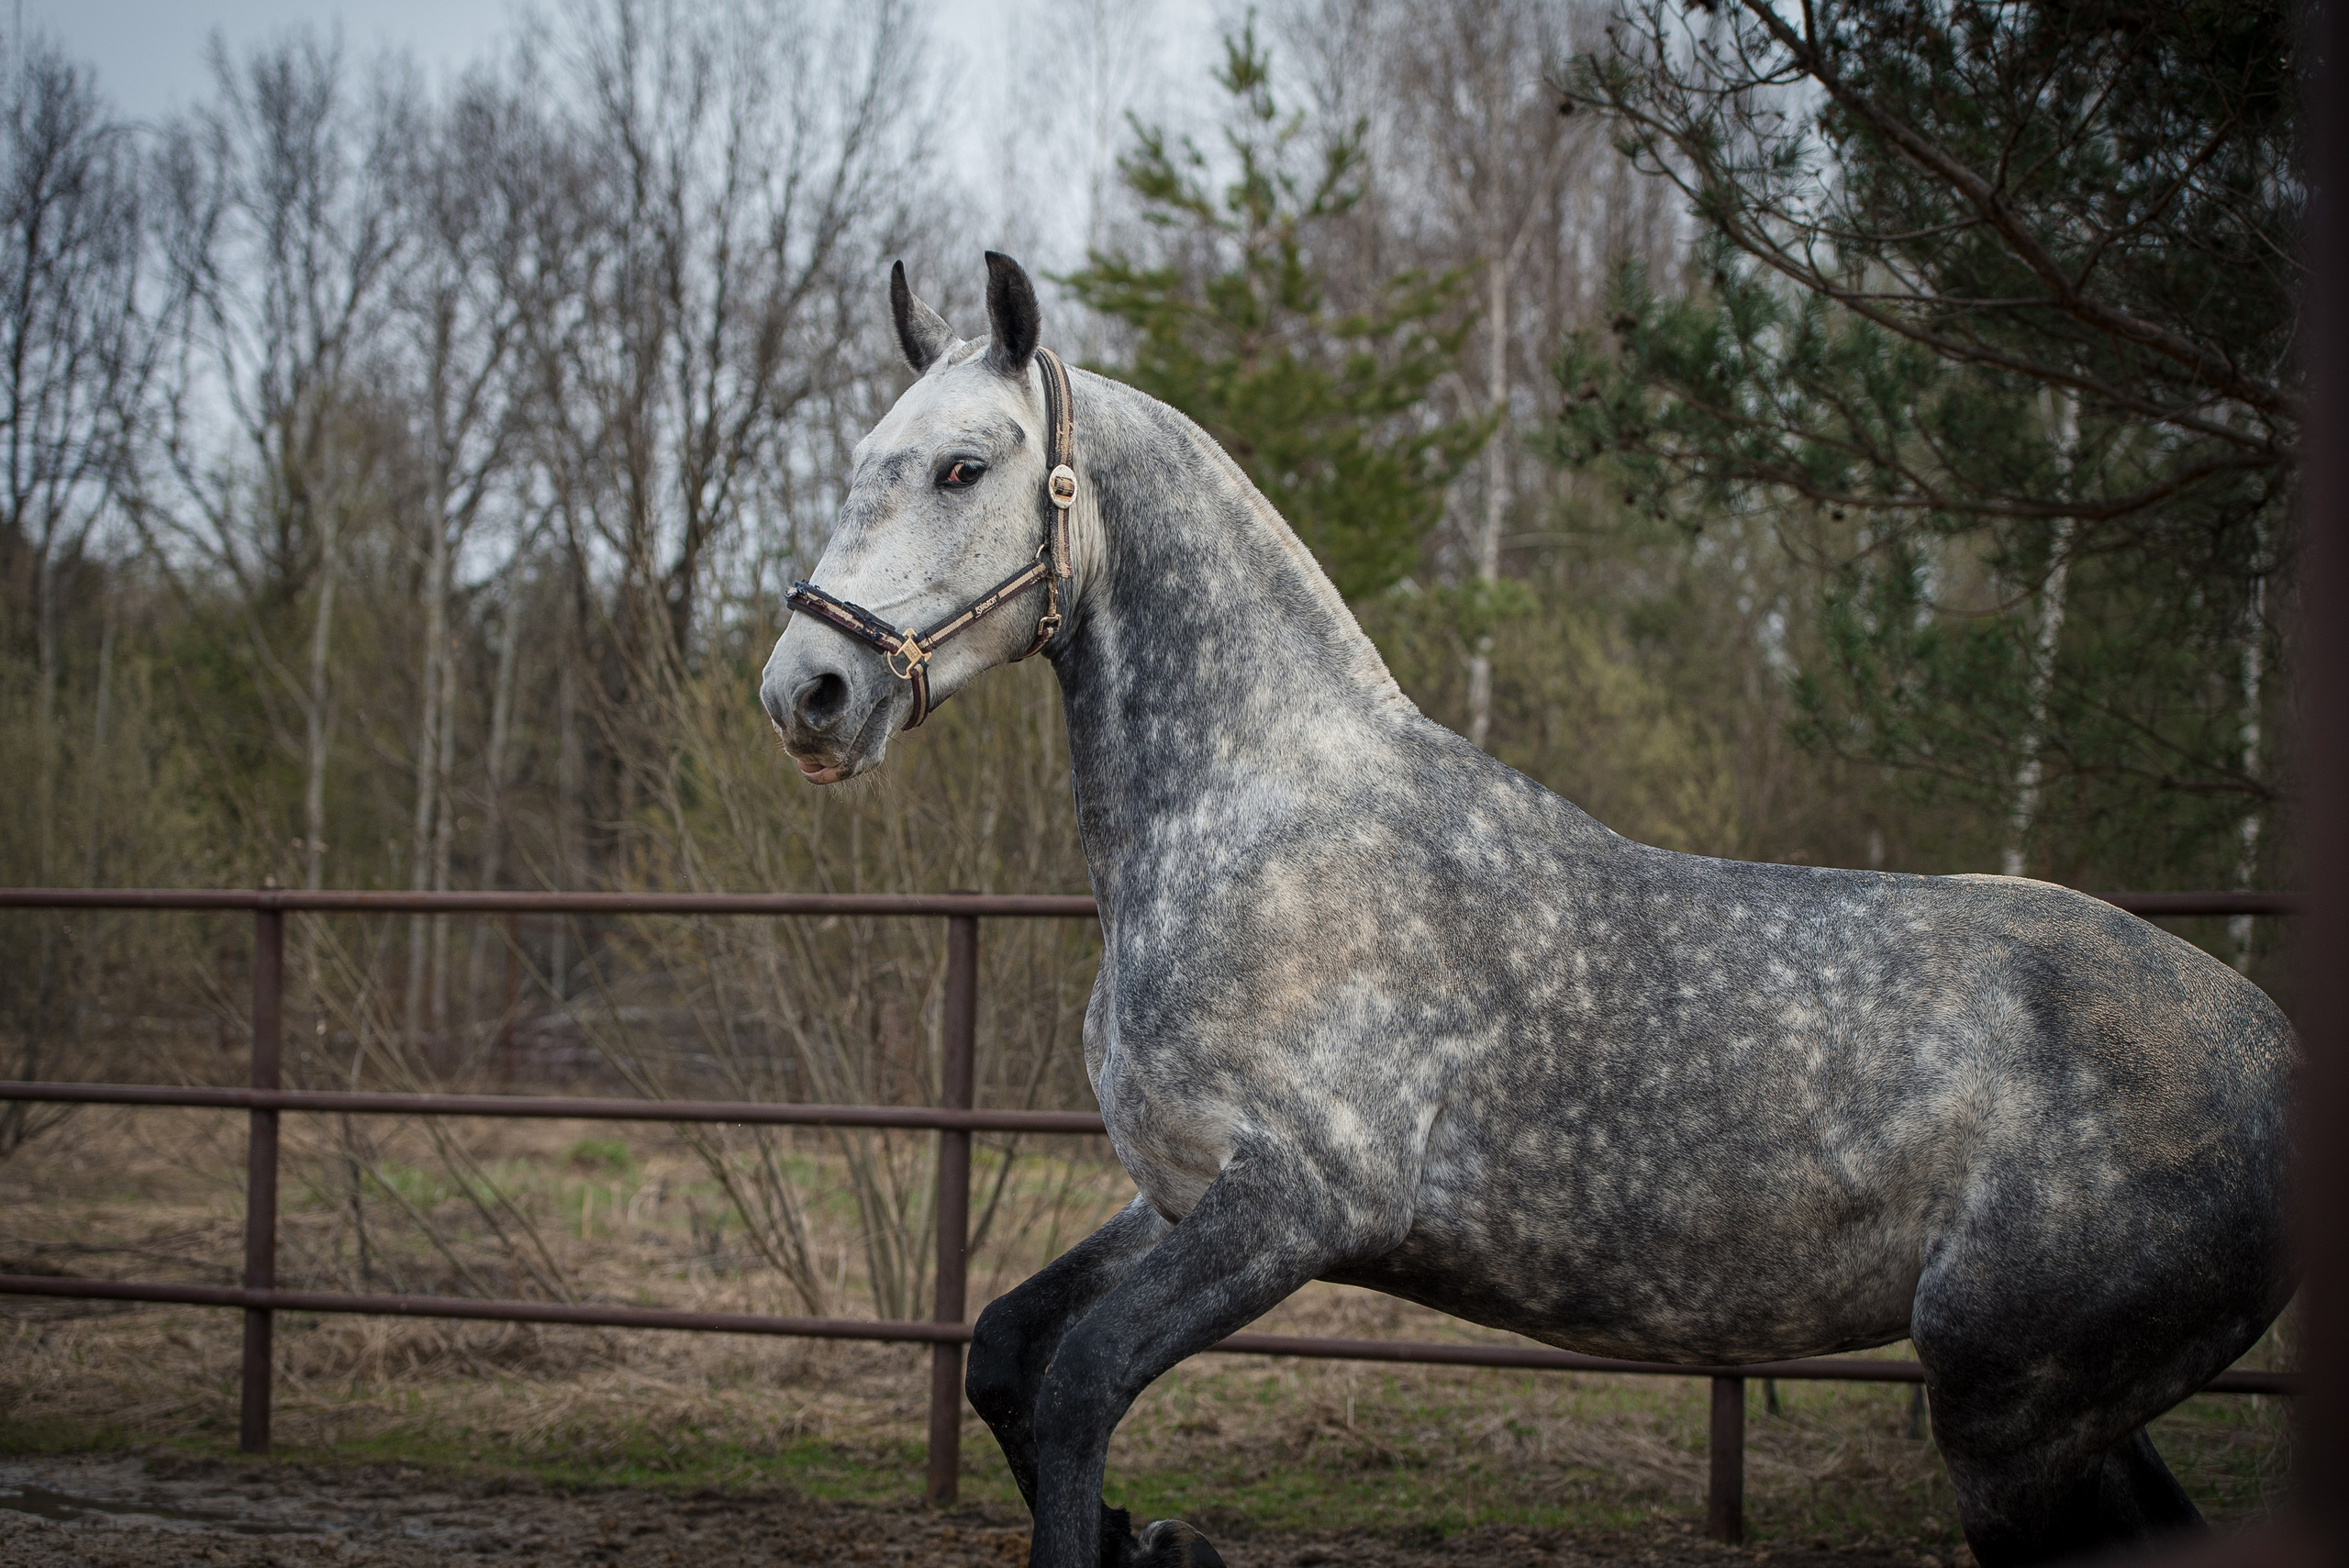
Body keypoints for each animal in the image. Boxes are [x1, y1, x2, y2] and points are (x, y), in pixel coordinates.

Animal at [759, 253, 2294, 1568]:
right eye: (863, 459)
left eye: (964, 466)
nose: (807, 693)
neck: (1261, 825)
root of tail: (2271, 1048)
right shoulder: (1183, 1188)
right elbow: (1006, 1353)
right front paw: (1164, 1540)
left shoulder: (1300, 1203)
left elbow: (1078, 1386)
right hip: (2065, 1414)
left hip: (2011, 1415)